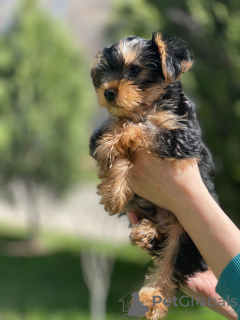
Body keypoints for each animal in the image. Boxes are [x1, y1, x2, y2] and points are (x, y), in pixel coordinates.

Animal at [89, 31, 218, 318]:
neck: (149, 106)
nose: (108, 92)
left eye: (134, 70)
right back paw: (147, 233)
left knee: (172, 261)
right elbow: (118, 131)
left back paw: (154, 299)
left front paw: (115, 142)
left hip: (189, 230)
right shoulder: (101, 132)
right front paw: (113, 191)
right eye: (104, 73)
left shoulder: (182, 138)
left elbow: (144, 129)